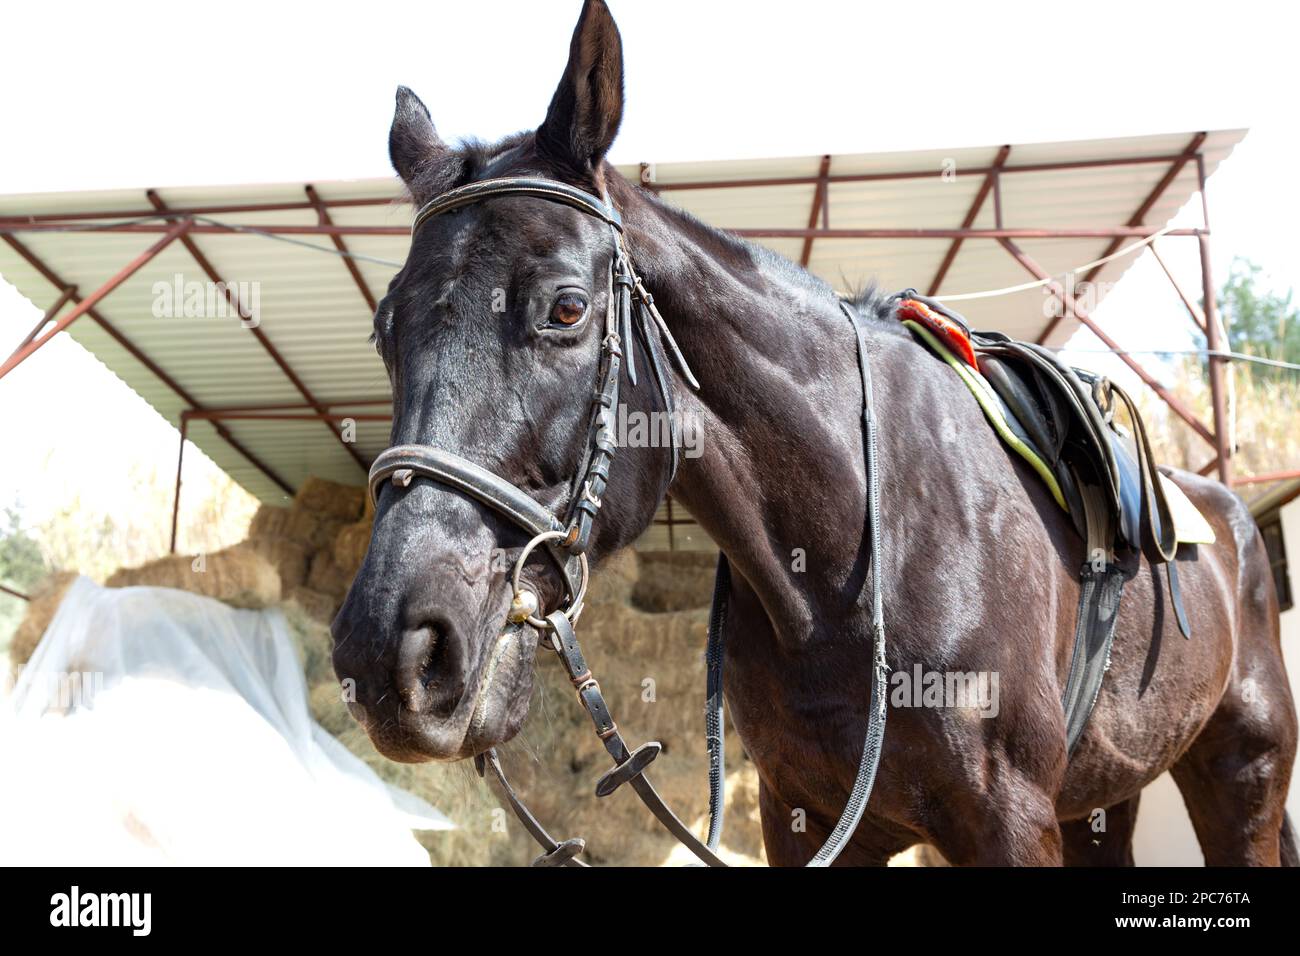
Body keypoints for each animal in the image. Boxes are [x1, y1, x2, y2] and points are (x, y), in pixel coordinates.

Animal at [331, 0, 1297, 865]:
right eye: (384, 331)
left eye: (566, 309)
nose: (389, 650)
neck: (854, 562)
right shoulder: (803, 817)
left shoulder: (1011, 819)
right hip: (1101, 801)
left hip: (1241, 774)